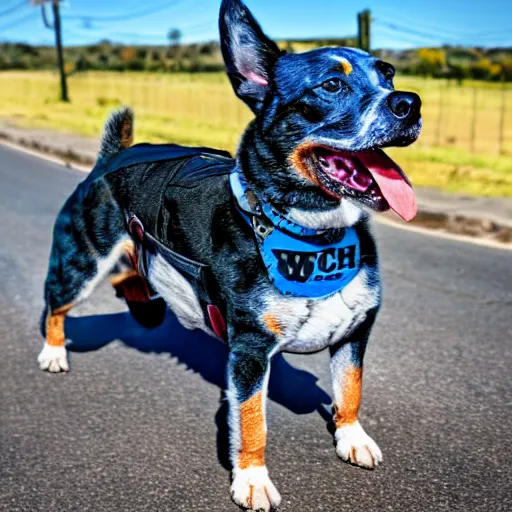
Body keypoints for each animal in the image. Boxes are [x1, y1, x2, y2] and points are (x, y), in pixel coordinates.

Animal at [38, 2, 420, 510]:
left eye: (388, 74)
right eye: (331, 85)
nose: (410, 103)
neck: (307, 232)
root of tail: (109, 157)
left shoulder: (354, 331)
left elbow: (351, 390)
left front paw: (351, 437)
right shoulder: (250, 352)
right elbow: (253, 421)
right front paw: (252, 479)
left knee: (129, 276)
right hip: (82, 261)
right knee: (55, 304)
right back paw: (53, 351)